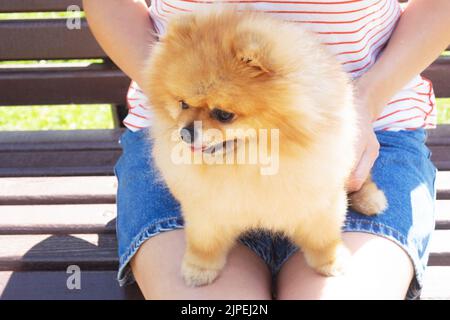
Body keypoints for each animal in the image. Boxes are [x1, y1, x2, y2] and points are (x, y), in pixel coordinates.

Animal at [143, 8, 386, 288]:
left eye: (224, 115)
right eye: (182, 103)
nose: (185, 132)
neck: (251, 162)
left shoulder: (319, 201)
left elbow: (323, 238)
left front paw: (331, 261)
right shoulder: (207, 207)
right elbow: (204, 242)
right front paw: (199, 268)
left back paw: (371, 199)